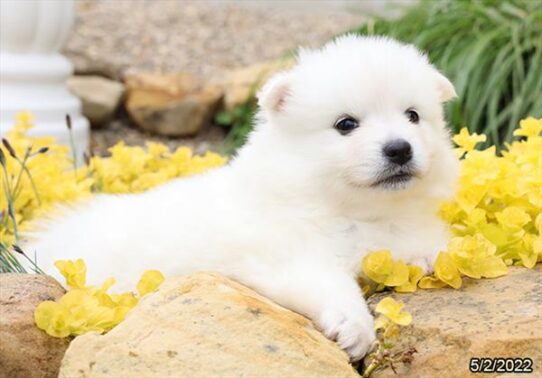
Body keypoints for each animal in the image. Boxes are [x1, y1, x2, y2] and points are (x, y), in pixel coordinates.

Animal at [26, 34, 460, 360]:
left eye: (413, 116)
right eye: (346, 124)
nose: (400, 149)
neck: (348, 210)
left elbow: (422, 238)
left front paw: (433, 255)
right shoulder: (285, 257)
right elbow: (331, 284)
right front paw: (355, 328)